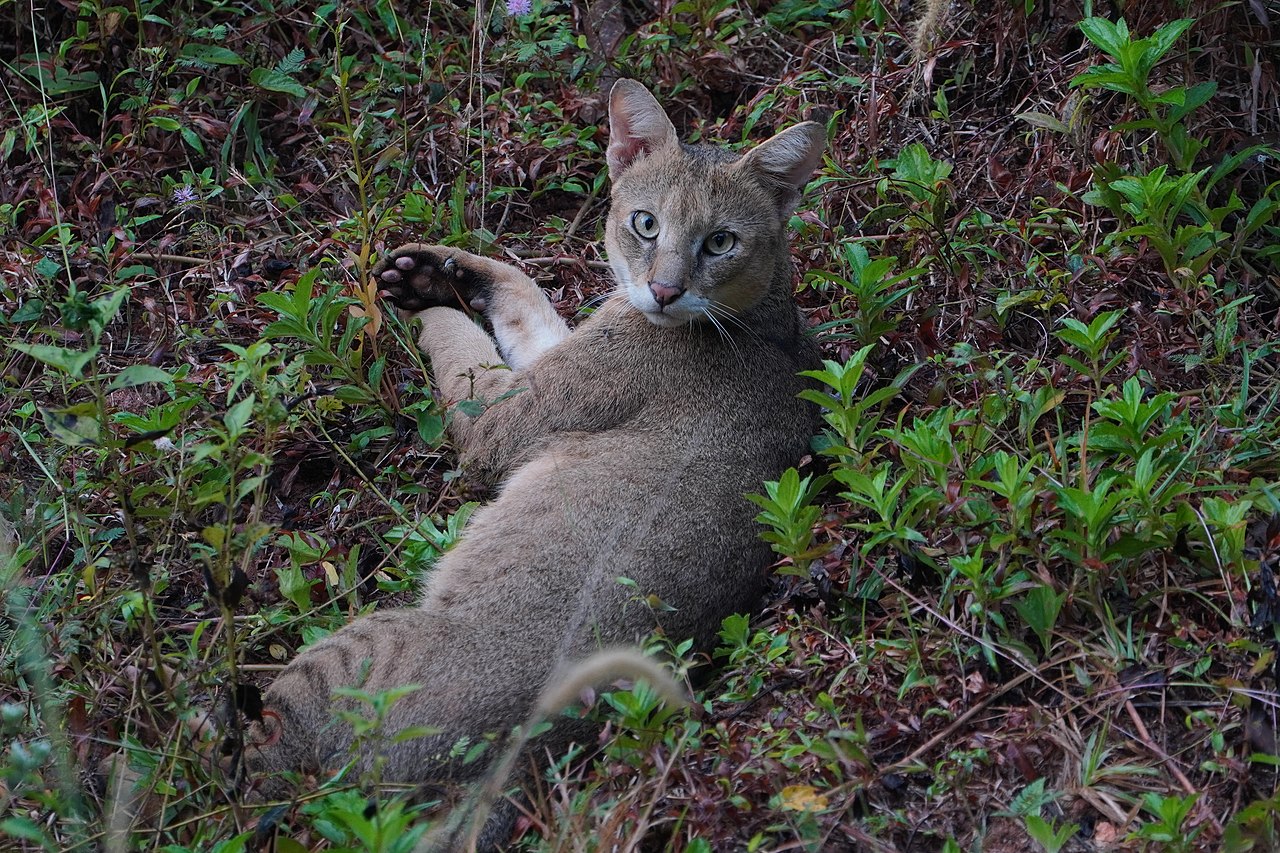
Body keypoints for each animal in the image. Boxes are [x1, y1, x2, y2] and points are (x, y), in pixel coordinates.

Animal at [244, 79, 824, 845]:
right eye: (644, 224)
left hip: (357, 650)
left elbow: (461, 353)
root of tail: (520, 756)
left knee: (258, 764)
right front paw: (439, 270)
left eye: (720, 241)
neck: (767, 319)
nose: (664, 290)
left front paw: (416, 298)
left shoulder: (503, 423)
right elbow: (525, 298)